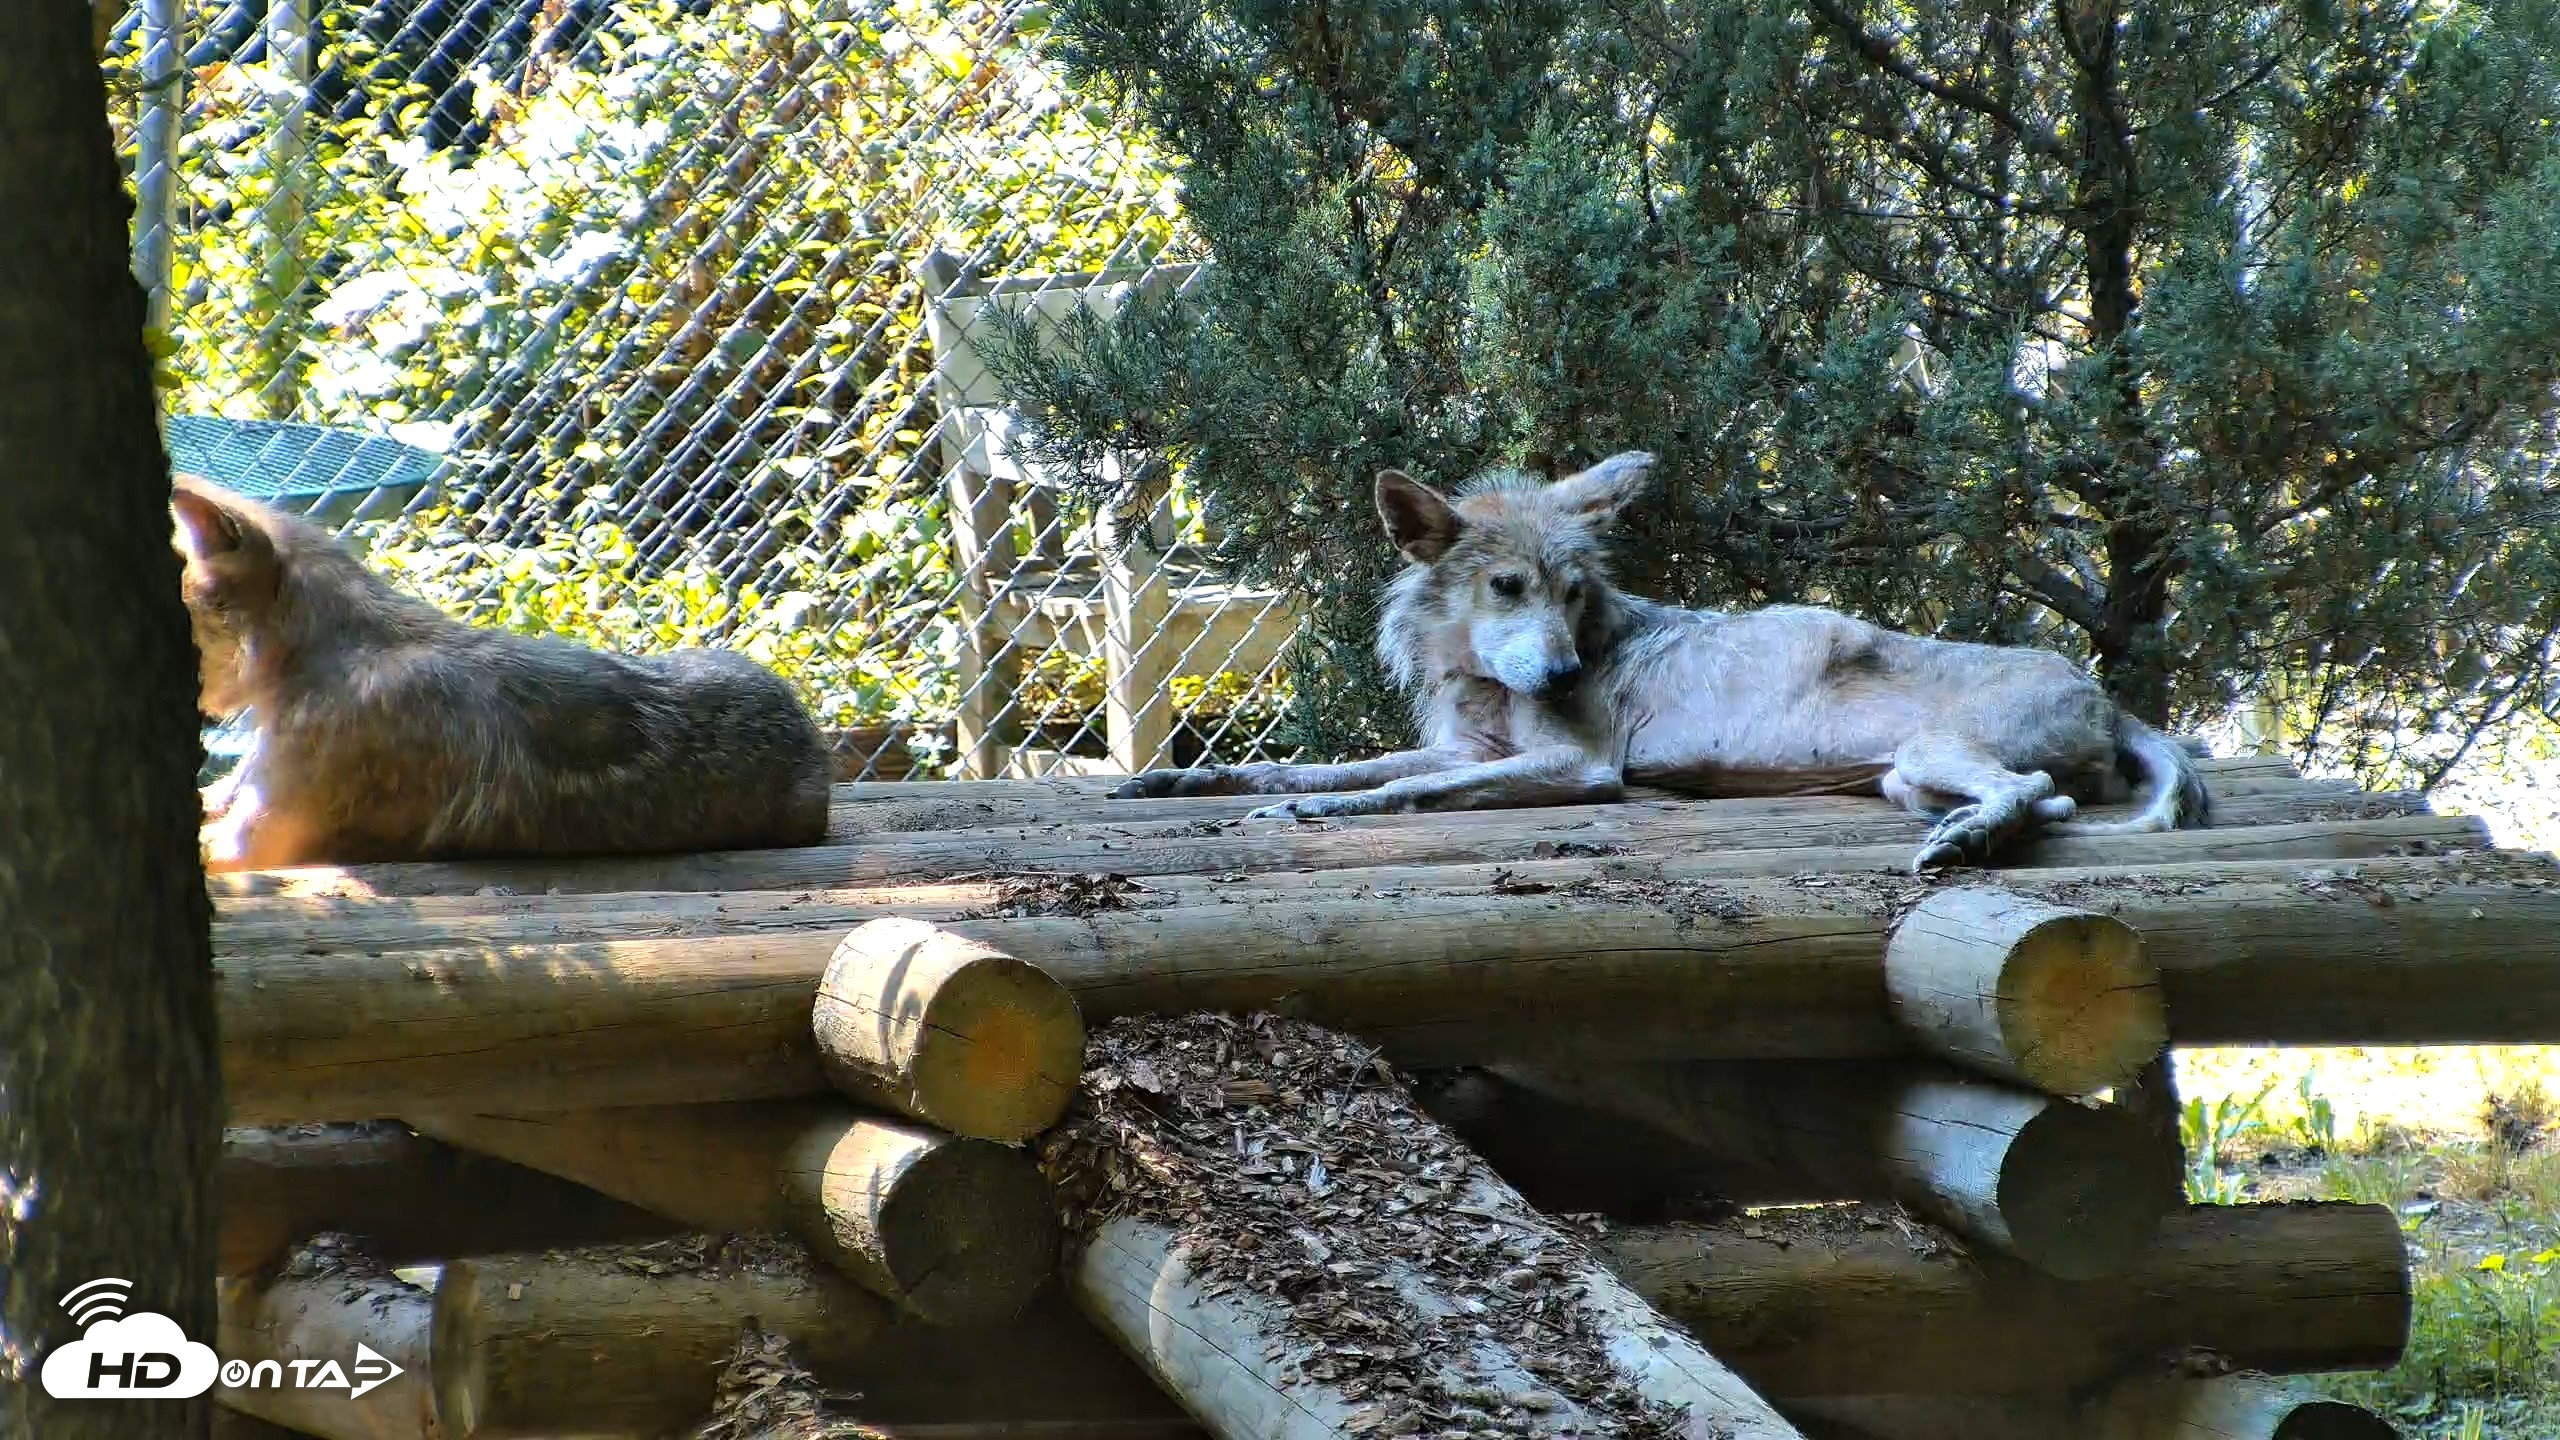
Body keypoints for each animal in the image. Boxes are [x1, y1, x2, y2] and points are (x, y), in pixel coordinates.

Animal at [1111, 451, 2208, 872]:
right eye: (1508, 586)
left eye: (1572, 593)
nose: (1562, 677)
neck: (1482, 680)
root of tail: (2108, 695)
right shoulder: (1458, 748)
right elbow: (1319, 764)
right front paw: (1183, 780)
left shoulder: (1575, 766)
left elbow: (1392, 792)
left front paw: (1314, 812)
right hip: (1906, 777)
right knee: (2043, 799)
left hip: (1932, 750)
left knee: (2032, 794)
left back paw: (1970, 841)